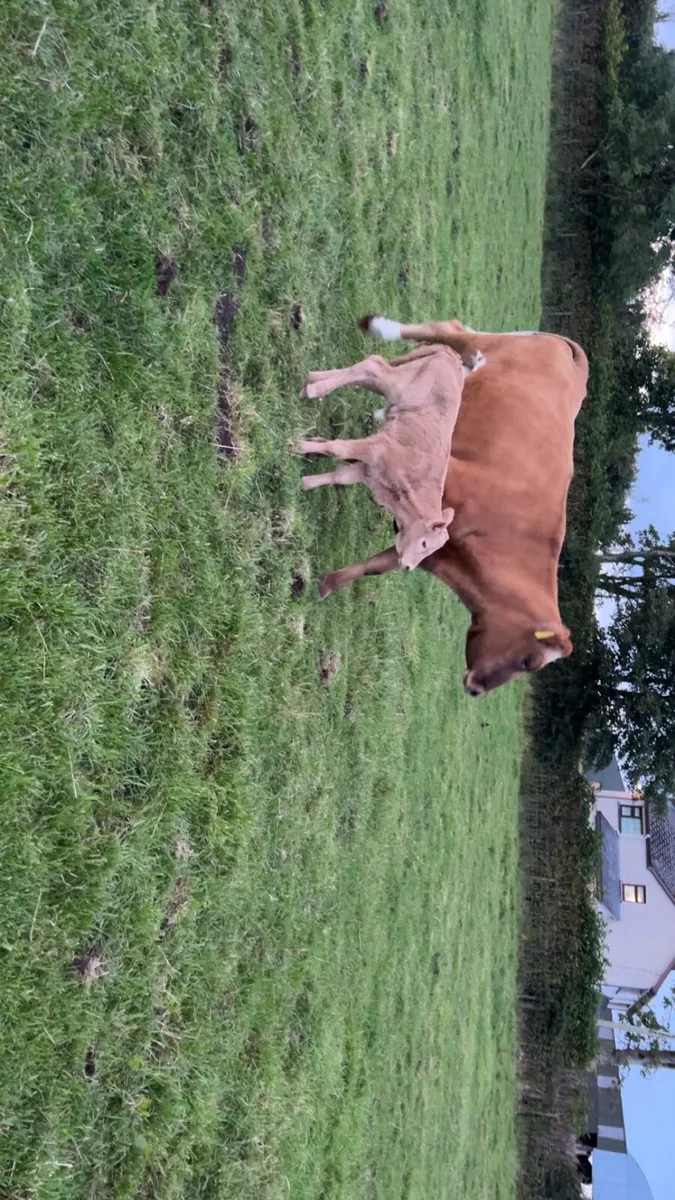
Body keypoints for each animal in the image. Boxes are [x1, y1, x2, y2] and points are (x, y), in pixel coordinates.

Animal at [297, 344, 467, 570]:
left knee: (367, 371)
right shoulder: (377, 448)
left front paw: (305, 482)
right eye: (424, 543)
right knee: (374, 366)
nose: (407, 567)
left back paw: (312, 378)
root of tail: (452, 354)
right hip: (398, 385)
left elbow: (340, 476)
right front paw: (299, 445)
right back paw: (312, 390)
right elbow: (338, 449)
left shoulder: (369, 472)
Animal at [314, 315, 589, 696]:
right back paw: (381, 329)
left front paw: (327, 585)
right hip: (478, 345)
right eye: (528, 661)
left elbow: (374, 567)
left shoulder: (427, 545)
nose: (476, 691)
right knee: (447, 330)